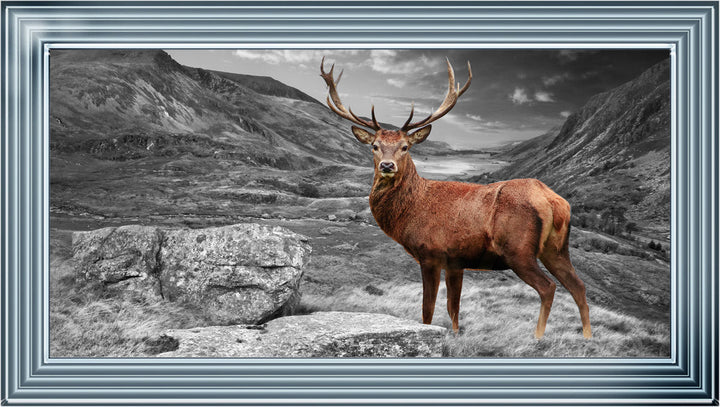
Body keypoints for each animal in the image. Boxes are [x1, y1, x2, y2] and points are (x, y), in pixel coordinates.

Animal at [320, 57, 591, 339]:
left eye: (405, 147)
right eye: (375, 146)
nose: (386, 165)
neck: (411, 211)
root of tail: (553, 201)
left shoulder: (431, 253)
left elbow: (428, 310)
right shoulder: (456, 262)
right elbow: (454, 310)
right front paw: (456, 335)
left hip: (519, 250)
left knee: (548, 287)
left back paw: (537, 337)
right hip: (556, 248)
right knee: (578, 286)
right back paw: (587, 337)